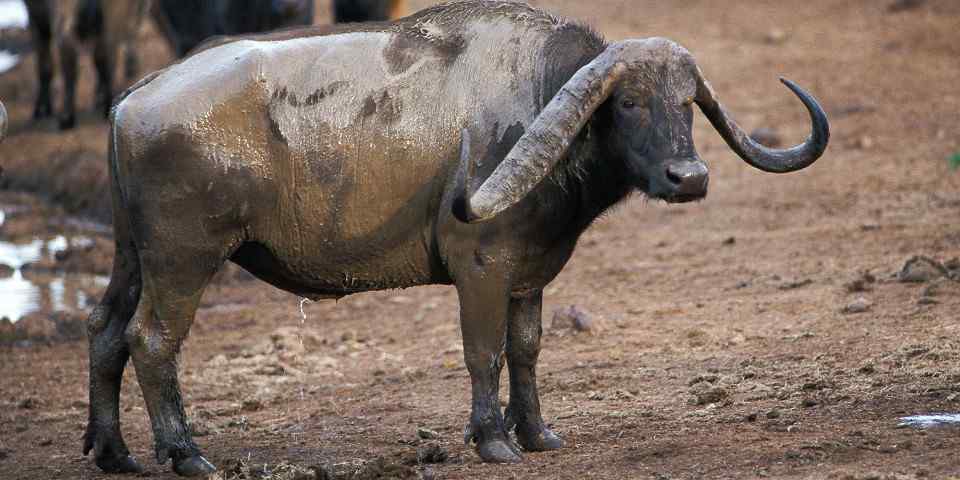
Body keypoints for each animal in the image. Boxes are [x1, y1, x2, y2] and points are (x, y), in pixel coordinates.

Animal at [85, 1, 829, 476]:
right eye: (628, 102)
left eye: (686, 103)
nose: (689, 177)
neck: (539, 99)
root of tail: (134, 100)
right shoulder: (481, 268)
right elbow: (484, 353)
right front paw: (492, 441)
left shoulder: (528, 275)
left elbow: (526, 350)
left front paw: (537, 433)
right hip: (183, 261)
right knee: (152, 341)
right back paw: (185, 454)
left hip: (132, 259)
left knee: (104, 331)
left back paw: (114, 452)